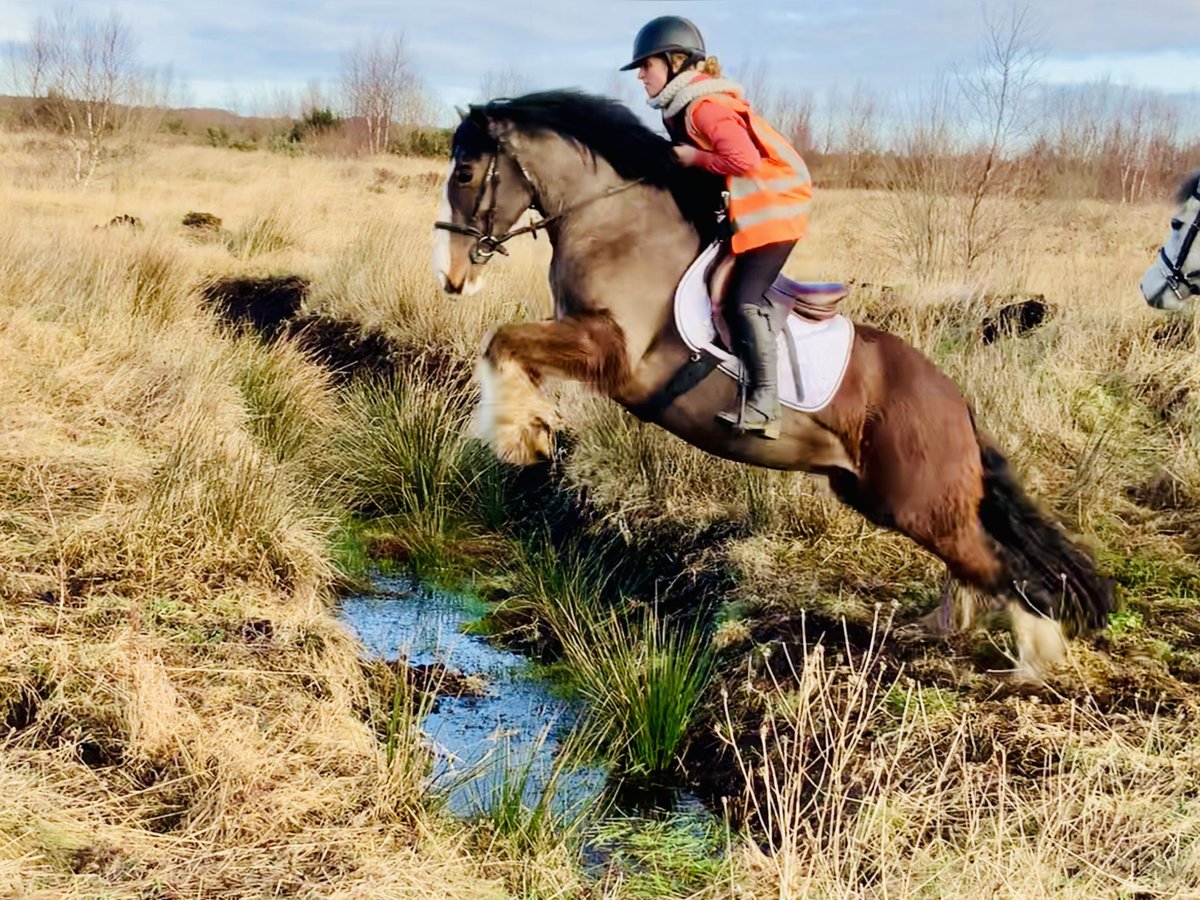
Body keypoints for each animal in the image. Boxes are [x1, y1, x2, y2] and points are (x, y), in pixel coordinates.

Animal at [434, 93, 1113, 681]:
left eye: (465, 172)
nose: (452, 278)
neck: (618, 225)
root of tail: (957, 405)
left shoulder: (612, 352)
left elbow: (502, 340)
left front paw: (518, 435)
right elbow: (508, 347)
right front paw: (528, 429)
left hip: (915, 502)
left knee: (1001, 567)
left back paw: (1035, 658)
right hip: (886, 499)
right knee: (978, 561)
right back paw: (944, 627)